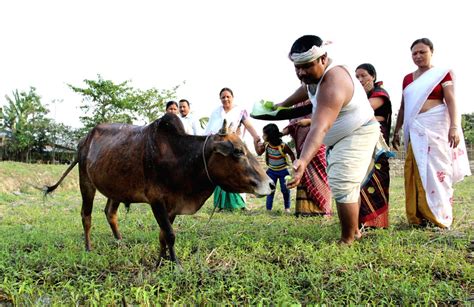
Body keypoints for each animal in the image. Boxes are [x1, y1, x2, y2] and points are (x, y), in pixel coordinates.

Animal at [45, 113, 274, 264]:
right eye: (238, 151)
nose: (270, 184)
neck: (181, 158)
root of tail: (84, 140)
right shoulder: (157, 201)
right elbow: (170, 234)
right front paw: (175, 265)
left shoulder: (172, 205)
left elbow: (164, 234)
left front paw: (164, 260)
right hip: (86, 183)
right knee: (86, 216)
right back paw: (88, 248)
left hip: (116, 189)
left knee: (110, 213)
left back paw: (120, 242)